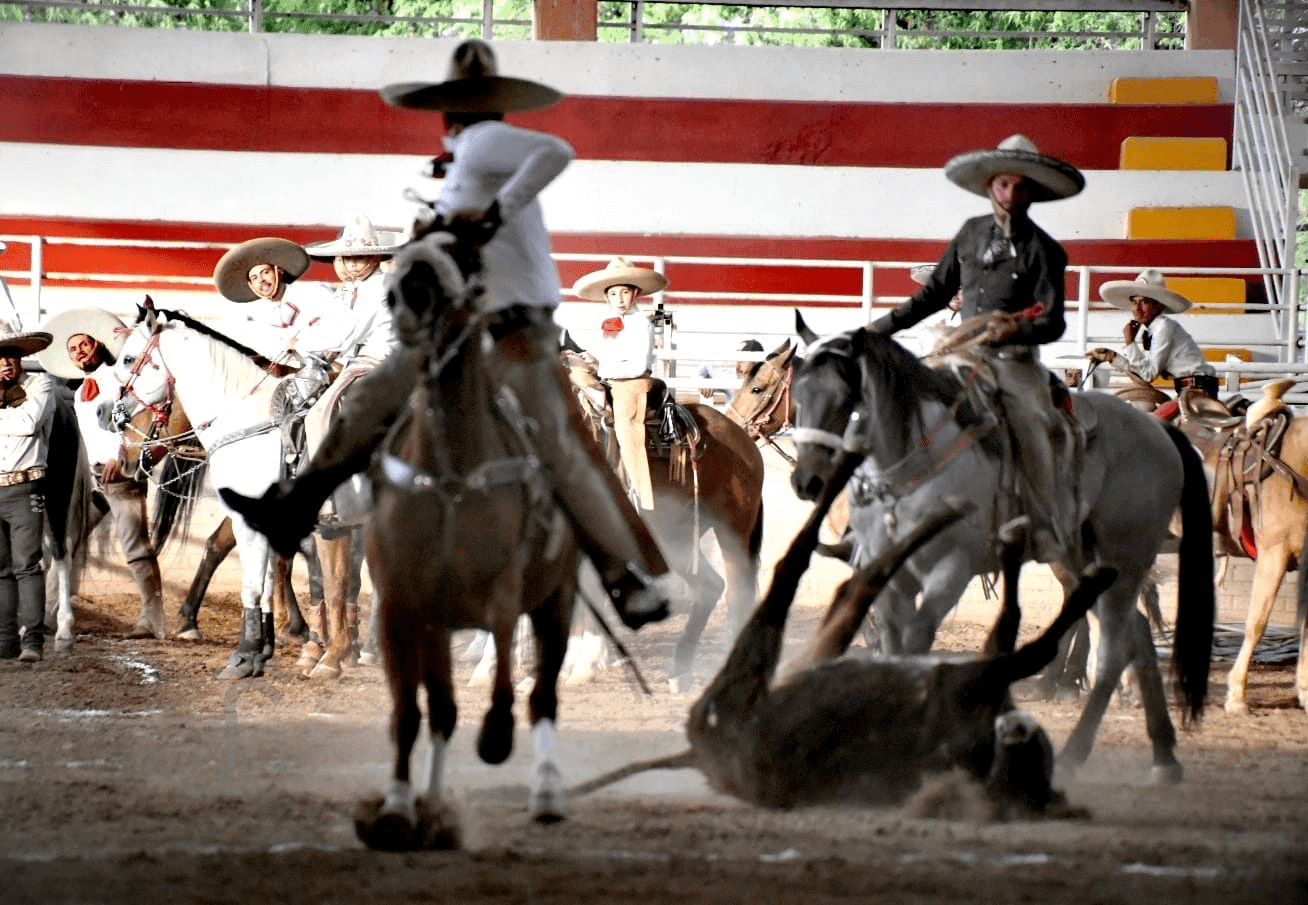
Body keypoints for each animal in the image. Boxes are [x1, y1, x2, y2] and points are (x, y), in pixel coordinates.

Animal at [353, 232, 578, 847]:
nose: (409, 296)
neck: (450, 475)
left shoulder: (502, 595)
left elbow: (504, 677)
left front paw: (496, 737)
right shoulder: (402, 611)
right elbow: (411, 714)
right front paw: (398, 809)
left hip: (557, 600)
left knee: (542, 693)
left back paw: (547, 792)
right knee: (444, 711)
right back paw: (432, 806)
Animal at [565, 353, 763, 690]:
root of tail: (742, 439)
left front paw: (583, 665)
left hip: (733, 533)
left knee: (736, 595)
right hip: (675, 539)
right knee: (710, 587)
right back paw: (680, 672)